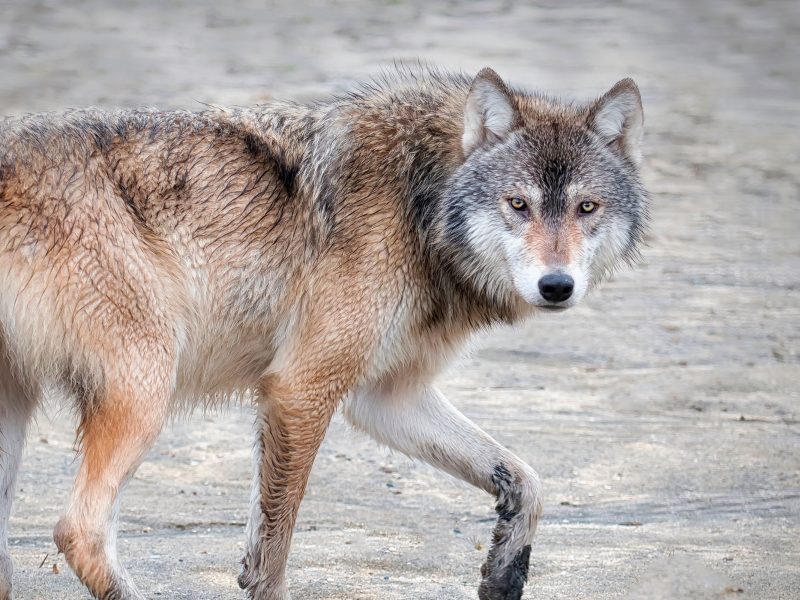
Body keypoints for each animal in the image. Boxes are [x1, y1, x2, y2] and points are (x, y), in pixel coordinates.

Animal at [0, 65, 647, 600]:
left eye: (586, 208)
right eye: (518, 204)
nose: (556, 285)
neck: (420, 201)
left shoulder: (386, 397)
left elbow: (527, 480)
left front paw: (506, 573)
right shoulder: (301, 388)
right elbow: (273, 553)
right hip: (145, 394)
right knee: (79, 531)